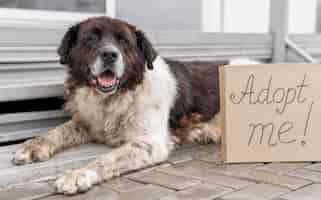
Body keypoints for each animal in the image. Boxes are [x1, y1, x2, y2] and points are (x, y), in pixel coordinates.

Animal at [12, 16, 222, 195]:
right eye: (91, 38)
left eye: (123, 41)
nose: (109, 54)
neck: (114, 99)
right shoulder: (87, 122)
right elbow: (57, 131)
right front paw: (32, 146)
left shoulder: (150, 143)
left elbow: (107, 159)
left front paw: (78, 174)